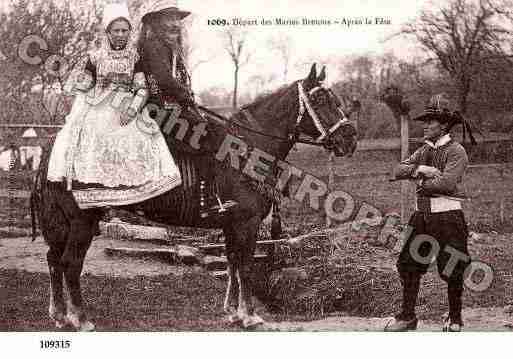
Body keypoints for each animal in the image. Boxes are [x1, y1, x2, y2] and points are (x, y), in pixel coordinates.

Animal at [31, 63, 356, 330]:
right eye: (321, 99)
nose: (350, 139)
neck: (247, 148)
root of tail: (53, 150)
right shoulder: (247, 222)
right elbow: (246, 265)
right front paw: (250, 316)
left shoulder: (231, 224)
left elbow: (232, 262)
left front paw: (233, 312)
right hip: (81, 222)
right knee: (71, 263)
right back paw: (80, 318)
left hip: (61, 223)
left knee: (54, 260)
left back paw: (59, 315)